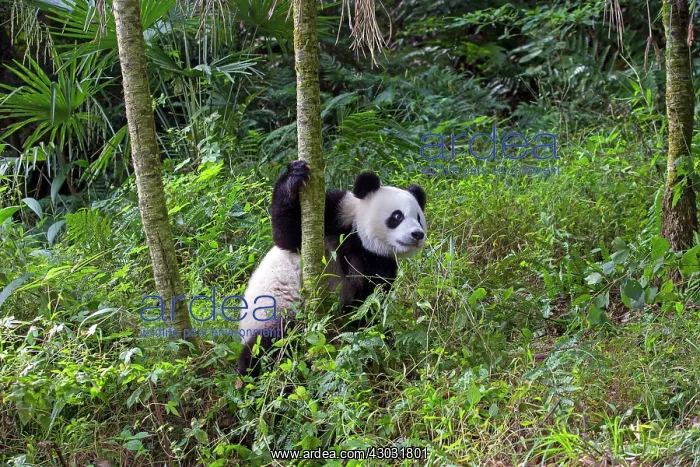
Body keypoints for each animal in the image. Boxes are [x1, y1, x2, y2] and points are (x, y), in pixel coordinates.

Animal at [236, 161, 427, 378]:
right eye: (397, 216)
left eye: (419, 218)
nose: (417, 234)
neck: (361, 239)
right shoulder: (336, 214)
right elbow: (288, 235)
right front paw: (294, 175)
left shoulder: (380, 263)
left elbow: (367, 302)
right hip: (275, 310)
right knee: (272, 341)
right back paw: (249, 371)